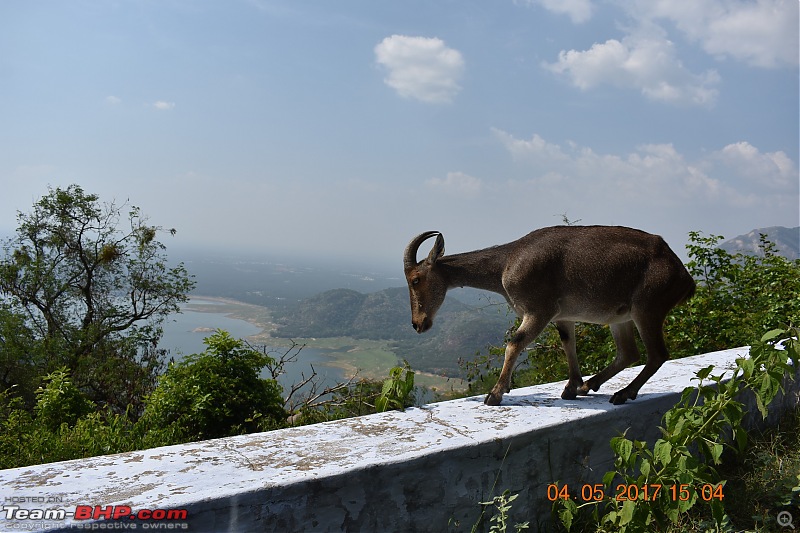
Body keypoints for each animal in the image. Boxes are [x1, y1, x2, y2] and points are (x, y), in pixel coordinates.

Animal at [404, 224, 696, 404]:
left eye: (416, 279)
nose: (418, 324)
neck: (505, 264)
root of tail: (683, 276)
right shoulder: (563, 316)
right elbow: (568, 344)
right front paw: (571, 387)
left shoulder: (538, 310)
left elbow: (514, 343)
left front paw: (495, 394)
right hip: (621, 317)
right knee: (629, 353)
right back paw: (589, 386)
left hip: (648, 308)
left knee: (657, 354)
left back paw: (624, 393)